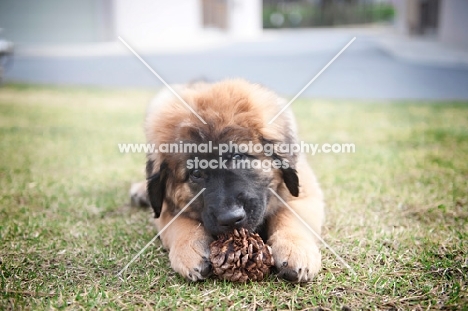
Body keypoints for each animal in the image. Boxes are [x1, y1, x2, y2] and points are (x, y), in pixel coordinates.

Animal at [130, 80, 324, 282]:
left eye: (237, 156)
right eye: (196, 173)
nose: (230, 219)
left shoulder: (304, 192)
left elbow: (291, 215)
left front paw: (296, 250)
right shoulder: (165, 209)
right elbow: (178, 222)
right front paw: (188, 250)